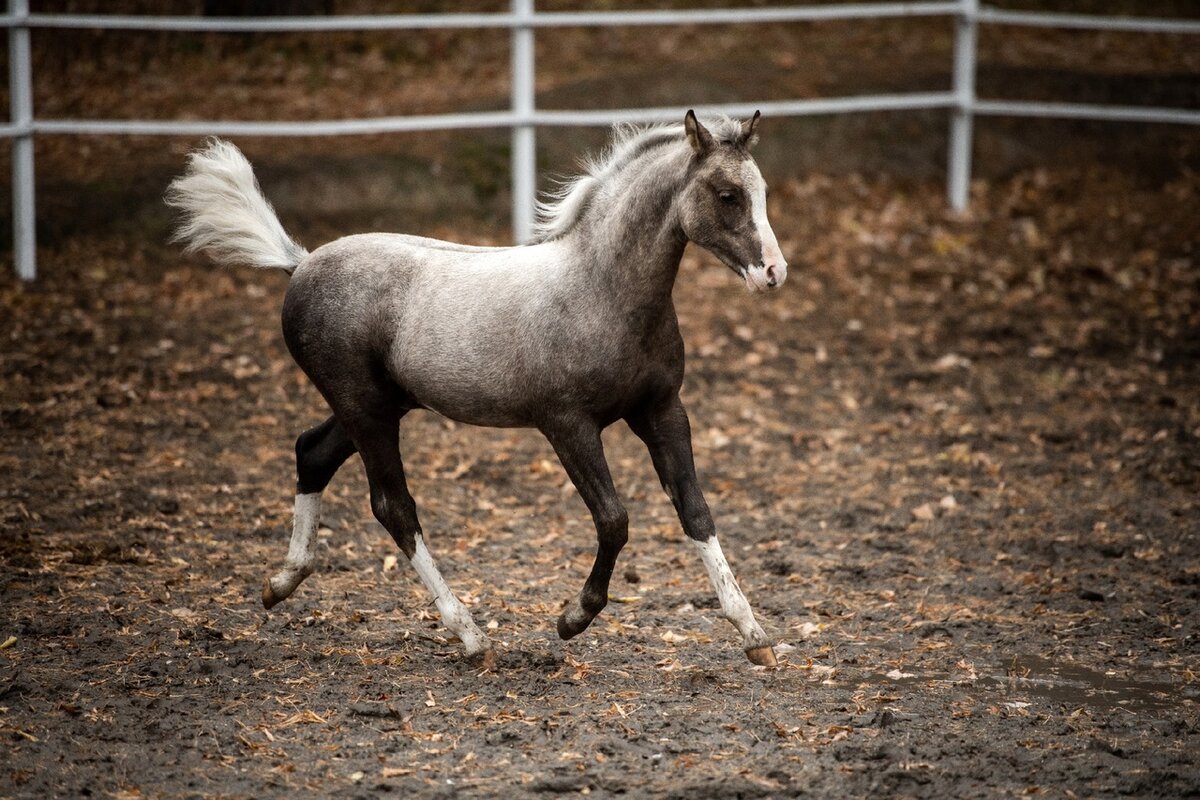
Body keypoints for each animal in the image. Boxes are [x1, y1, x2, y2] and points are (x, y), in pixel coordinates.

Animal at [166, 107, 787, 671]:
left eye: (761, 191)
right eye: (728, 195)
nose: (773, 274)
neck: (600, 291)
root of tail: (300, 263)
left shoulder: (661, 410)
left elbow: (695, 510)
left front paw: (754, 635)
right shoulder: (567, 425)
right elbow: (614, 519)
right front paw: (572, 619)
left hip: (377, 406)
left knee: (311, 453)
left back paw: (282, 583)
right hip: (364, 409)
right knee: (394, 507)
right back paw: (469, 635)